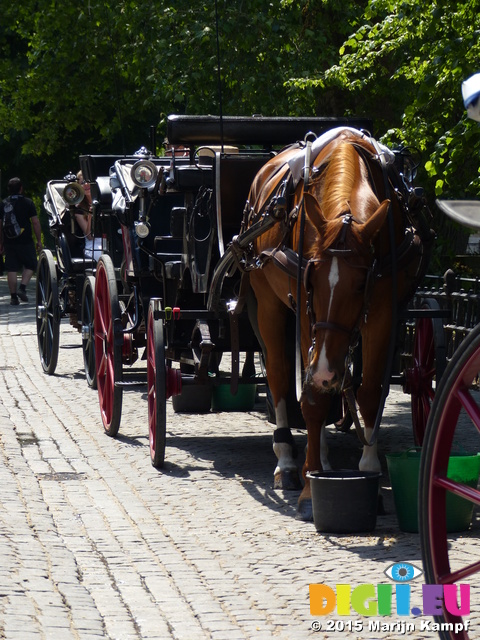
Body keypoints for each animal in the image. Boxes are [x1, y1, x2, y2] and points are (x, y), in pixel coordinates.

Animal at [246, 129, 426, 520]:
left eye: (360, 285)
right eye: (312, 282)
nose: (328, 371)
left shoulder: (382, 311)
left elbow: (370, 393)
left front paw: (369, 471)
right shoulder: (304, 308)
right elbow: (311, 398)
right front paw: (309, 491)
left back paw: (324, 459)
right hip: (268, 303)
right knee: (280, 377)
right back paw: (288, 462)